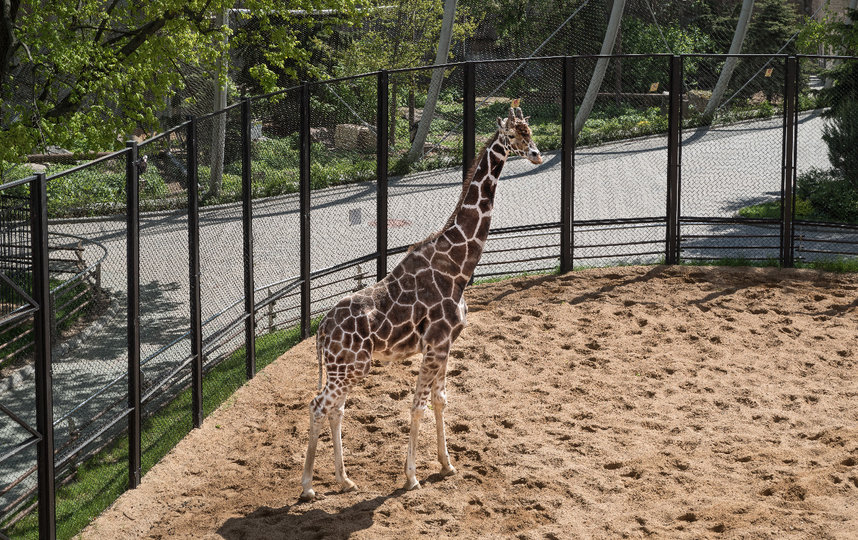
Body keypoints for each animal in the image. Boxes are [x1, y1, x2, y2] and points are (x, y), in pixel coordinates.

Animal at [300, 105, 540, 502]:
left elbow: (440, 400)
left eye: (530, 131)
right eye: (512, 135)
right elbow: (417, 405)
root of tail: (319, 331)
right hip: (348, 367)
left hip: (347, 369)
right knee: (319, 406)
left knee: (336, 409)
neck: (458, 265)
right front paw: (411, 477)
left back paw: (344, 480)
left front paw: (447, 465)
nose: (536, 154)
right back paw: (307, 487)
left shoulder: (444, 345)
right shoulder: (435, 344)